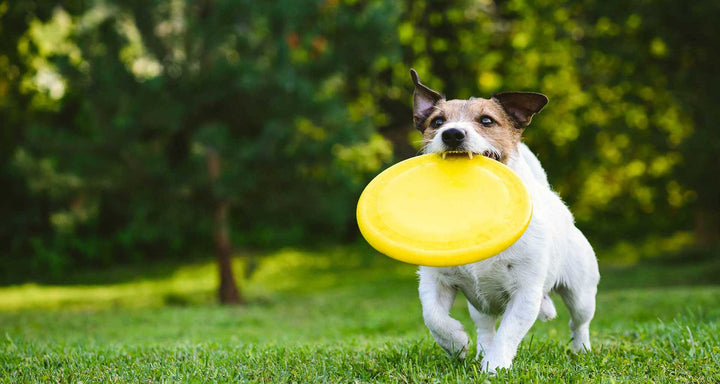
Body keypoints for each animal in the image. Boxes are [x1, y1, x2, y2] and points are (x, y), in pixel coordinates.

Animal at [410, 69, 600, 372]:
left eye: (487, 120)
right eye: (437, 122)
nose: (451, 134)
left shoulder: (525, 292)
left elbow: (508, 333)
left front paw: (494, 367)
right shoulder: (434, 280)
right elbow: (434, 317)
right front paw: (456, 343)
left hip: (581, 292)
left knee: (579, 322)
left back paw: (581, 350)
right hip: (479, 304)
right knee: (485, 327)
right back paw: (479, 351)